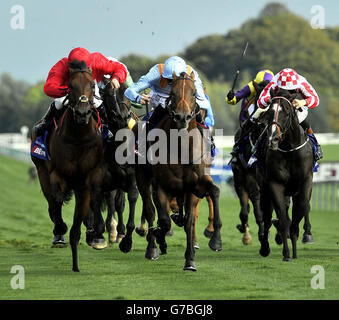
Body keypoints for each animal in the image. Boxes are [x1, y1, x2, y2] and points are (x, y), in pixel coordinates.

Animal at [31, 60, 103, 272]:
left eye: (93, 85)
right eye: (70, 86)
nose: (82, 113)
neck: (78, 138)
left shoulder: (87, 180)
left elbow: (80, 221)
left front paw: (77, 263)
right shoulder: (57, 175)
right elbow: (56, 201)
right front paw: (60, 230)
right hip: (41, 170)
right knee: (51, 202)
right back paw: (59, 234)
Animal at [135, 72, 223, 270]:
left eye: (194, 93)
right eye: (172, 93)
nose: (182, 117)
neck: (181, 147)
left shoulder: (194, 185)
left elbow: (199, 210)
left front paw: (193, 257)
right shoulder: (160, 186)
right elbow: (163, 221)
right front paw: (157, 236)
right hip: (142, 178)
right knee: (150, 210)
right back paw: (152, 247)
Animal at [258, 87, 314, 260]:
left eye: (287, 112)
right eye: (269, 112)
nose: (273, 139)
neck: (290, 150)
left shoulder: (306, 181)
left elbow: (302, 208)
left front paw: (300, 241)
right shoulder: (275, 184)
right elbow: (282, 219)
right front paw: (287, 253)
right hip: (265, 190)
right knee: (267, 217)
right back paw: (265, 247)